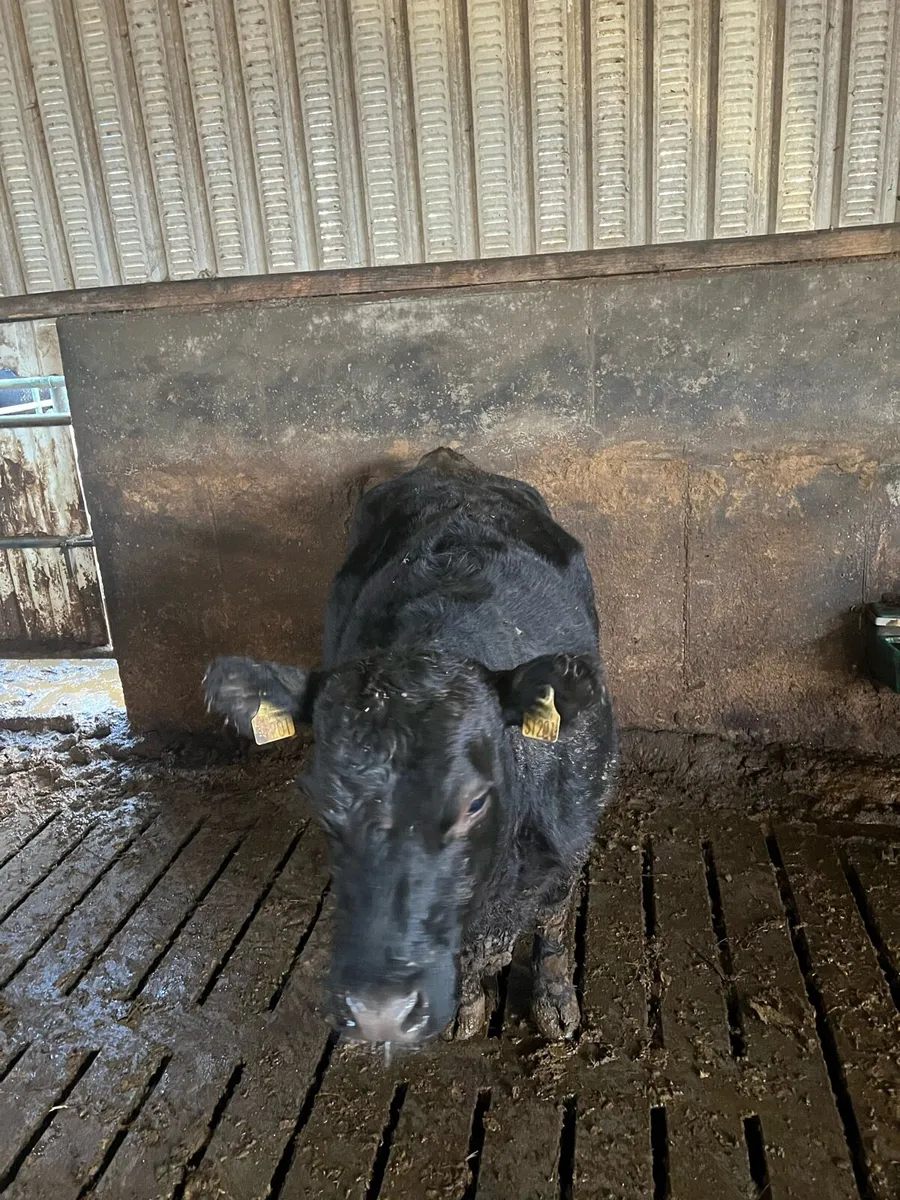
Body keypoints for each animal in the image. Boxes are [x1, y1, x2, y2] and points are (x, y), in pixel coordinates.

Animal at [204, 448, 617, 1046]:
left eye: (475, 801)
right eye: (323, 805)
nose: (380, 1010)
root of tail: (448, 461)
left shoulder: (574, 828)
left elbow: (555, 924)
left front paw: (556, 1002)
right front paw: (467, 1008)